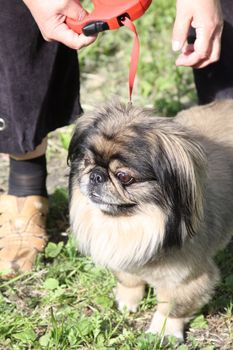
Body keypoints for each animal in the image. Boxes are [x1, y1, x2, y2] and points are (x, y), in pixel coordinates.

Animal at [68, 100, 233, 340]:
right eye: (87, 162)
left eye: (124, 176)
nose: (96, 175)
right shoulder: (124, 256)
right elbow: (128, 279)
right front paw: (127, 301)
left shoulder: (187, 279)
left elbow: (171, 307)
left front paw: (163, 332)